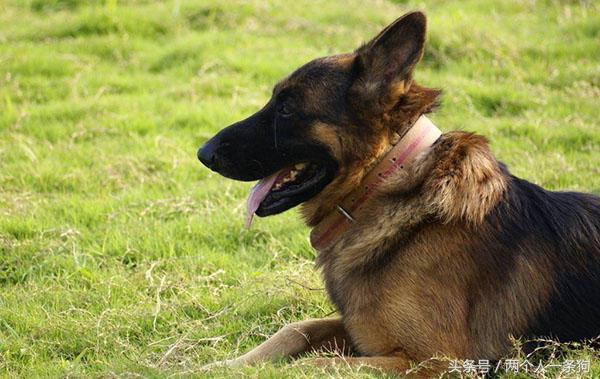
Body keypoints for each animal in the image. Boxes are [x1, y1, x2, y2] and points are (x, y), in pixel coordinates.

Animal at [198, 11, 600, 378]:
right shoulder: (363, 331)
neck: (381, 186)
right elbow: (295, 329)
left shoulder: (440, 363)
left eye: (286, 108)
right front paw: (223, 365)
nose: (203, 153)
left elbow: (313, 365)